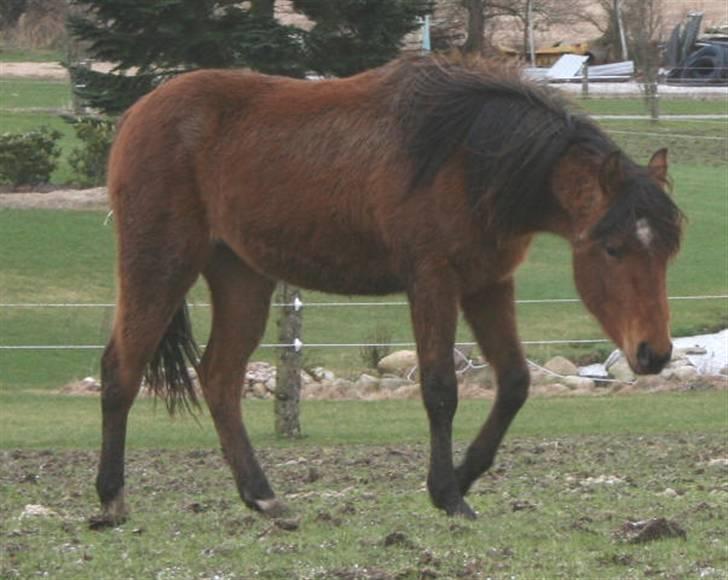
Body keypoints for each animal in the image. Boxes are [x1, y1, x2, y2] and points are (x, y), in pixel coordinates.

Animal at [95, 55, 684, 524]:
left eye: (668, 250)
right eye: (614, 249)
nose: (653, 353)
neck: (470, 157)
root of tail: (139, 112)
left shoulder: (488, 284)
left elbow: (515, 382)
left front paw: (464, 476)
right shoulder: (432, 281)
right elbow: (440, 389)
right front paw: (447, 493)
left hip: (241, 276)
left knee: (218, 377)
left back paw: (263, 497)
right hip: (160, 263)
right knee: (122, 368)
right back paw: (111, 498)